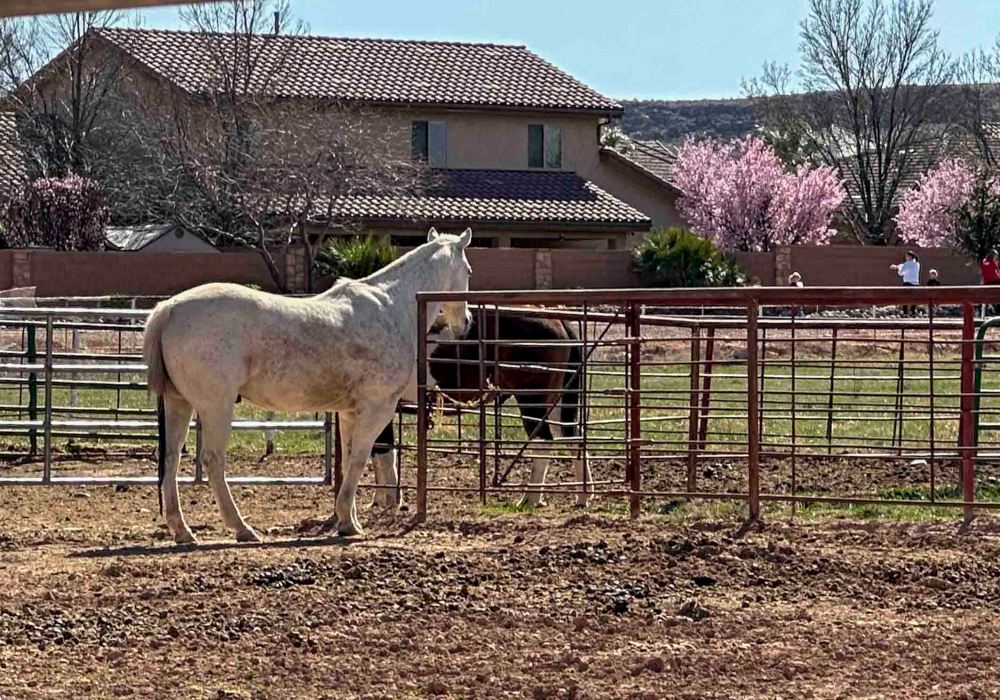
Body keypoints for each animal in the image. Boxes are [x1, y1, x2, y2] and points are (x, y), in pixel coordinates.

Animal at [143, 228, 473, 544]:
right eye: (468, 270)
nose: (467, 322)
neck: (392, 307)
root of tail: (169, 308)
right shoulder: (378, 408)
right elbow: (360, 459)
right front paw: (348, 523)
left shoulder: (350, 412)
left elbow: (348, 461)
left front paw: (346, 519)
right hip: (216, 407)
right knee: (212, 460)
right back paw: (242, 528)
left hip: (179, 403)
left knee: (171, 458)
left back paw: (183, 530)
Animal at [368, 309, 592, 509]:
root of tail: (557, 321)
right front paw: (380, 499)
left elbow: (383, 450)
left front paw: (390, 500)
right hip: (555, 403)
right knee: (572, 438)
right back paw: (582, 496)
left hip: (532, 400)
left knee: (543, 441)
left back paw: (529, 499)